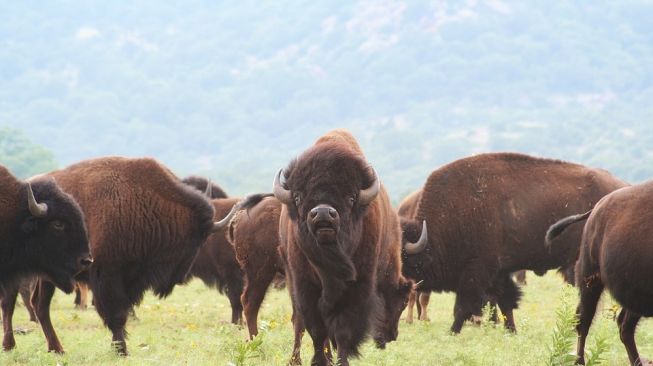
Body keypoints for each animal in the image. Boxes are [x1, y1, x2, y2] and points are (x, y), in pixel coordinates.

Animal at [28, 157, 220, 354]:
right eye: (196, 240)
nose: (181, 278)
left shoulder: (131, 279)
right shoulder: (107, 275)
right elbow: (116, 315)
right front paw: (121, 350)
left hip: (47, 277)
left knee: (40, 304)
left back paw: (56, 348)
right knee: (40, 305)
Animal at [272, 130, 410, 364]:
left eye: (351, 197)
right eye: (298, 197)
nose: (323, 213)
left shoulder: (357, 287)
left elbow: (343, 330)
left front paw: (340, 360)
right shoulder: (305, 286)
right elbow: (316, 330)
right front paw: (319, 361)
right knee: (299, 322)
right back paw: (296, 360)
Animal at [400, 153, 624, 334]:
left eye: (402, 258)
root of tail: (622, 187)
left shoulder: (476, 271)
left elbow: (464, 306)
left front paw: (453, 332)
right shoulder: (498, 273)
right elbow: (505, 302)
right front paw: (511, 330)